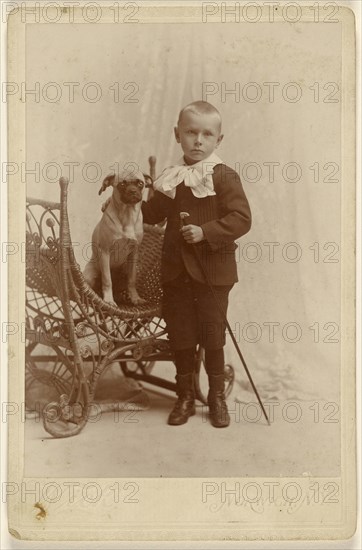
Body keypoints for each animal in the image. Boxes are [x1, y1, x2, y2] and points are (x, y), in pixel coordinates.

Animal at [84, 168, 153, 306]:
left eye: (140, 183)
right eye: (122, 184)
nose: (132, 191)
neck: (127, 216)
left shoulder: (133, 254)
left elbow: (131, 281)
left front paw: (135, 298)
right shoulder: (105, 252)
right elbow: (107, 280)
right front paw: (109, 300)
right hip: (90, 275)